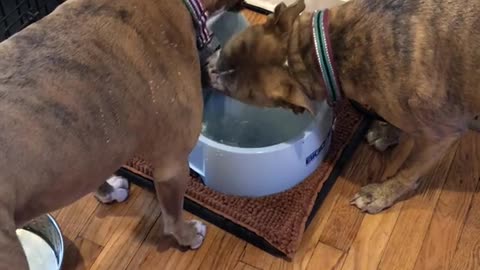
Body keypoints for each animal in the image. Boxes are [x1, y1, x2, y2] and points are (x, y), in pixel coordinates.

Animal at [206, 0, 480, 215]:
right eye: (225, 51)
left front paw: (380, 194)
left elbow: (407, 172)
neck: (323, 51)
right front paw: (389, 132)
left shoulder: (441, 134)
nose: (207, 69)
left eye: (233, 91)